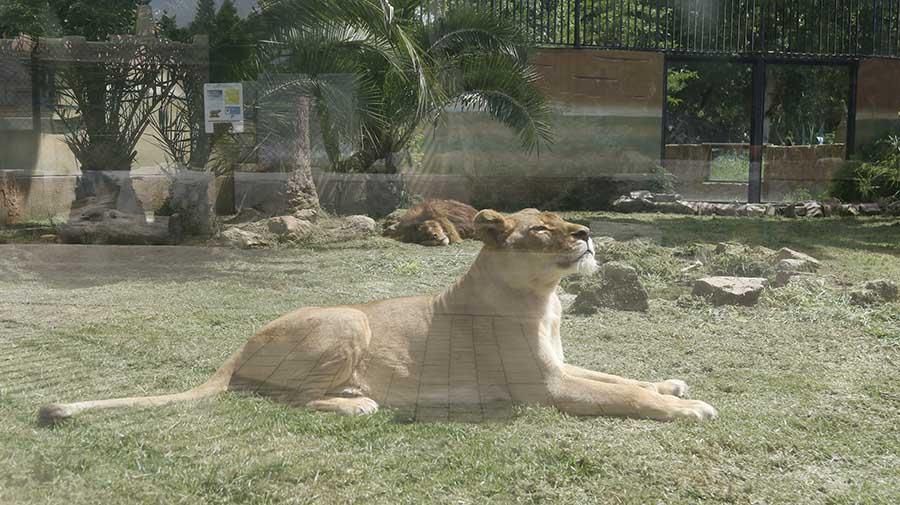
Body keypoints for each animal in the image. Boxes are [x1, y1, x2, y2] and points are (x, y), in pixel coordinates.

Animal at [40, 207, 716, 424]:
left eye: (562, 220)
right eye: (542, 229)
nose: (587, 234)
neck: (544, 298)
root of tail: (241, 343)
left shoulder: (561, 367)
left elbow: (622, 378)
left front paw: (675, 384)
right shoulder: (546, 389)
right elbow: (626, 396)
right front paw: (691, 409)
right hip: (350, 321)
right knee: (278, 397)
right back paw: (357, 401)